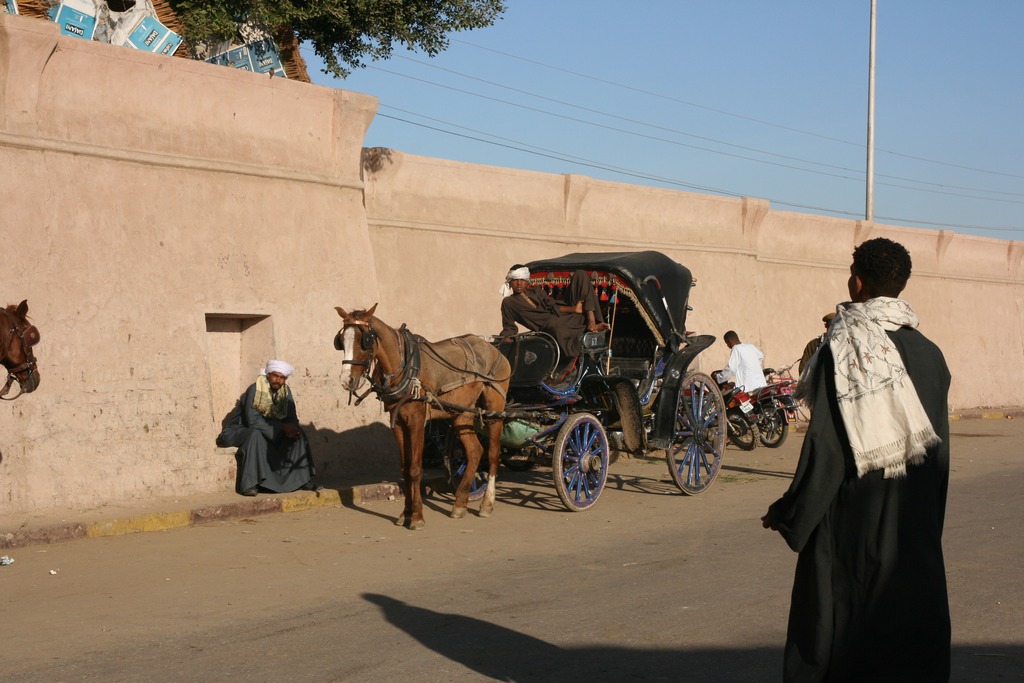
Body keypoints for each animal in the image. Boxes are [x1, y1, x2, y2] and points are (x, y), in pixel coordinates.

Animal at [335, 305, 512, 528]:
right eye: (341, 341)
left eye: (364, 341)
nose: (346, 380)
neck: (405, 367)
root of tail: (494, 349)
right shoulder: (398, 423)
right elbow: (404, 469)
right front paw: (405, 513)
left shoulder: (417, 421)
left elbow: (415, 469)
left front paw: (417, 516)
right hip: (462, 413)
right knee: (474, 451)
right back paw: (460, 503)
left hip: (494, 408)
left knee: (493, 453)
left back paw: (487, 503)